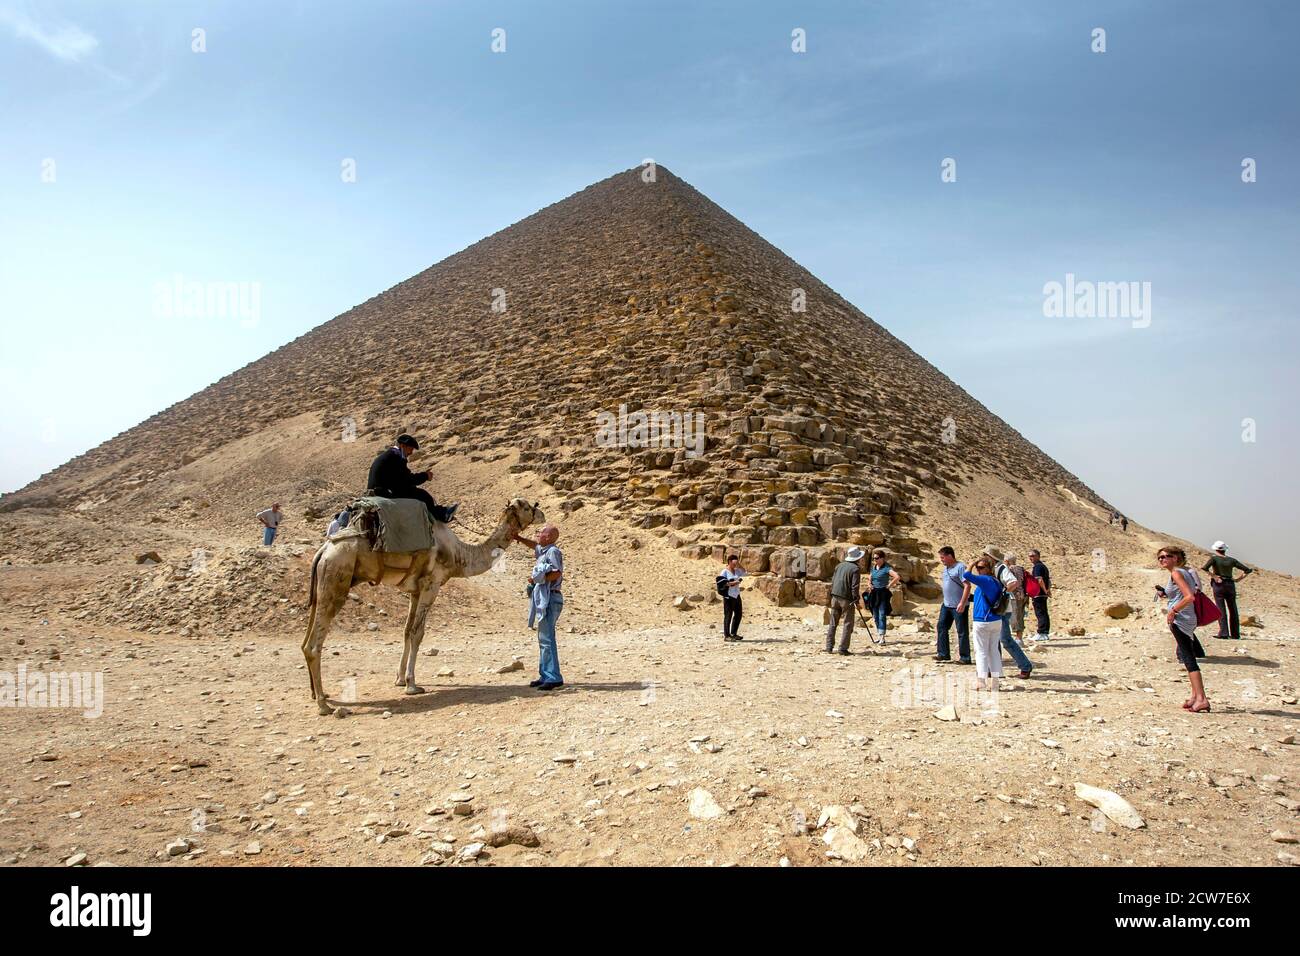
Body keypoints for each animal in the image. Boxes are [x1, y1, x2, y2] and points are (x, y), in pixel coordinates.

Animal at [300, 496, 543, 712]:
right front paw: (412, 684)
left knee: (306, 639)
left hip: (322, 583)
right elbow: (418, 632)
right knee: (314, 644)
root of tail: (324, 551)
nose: (542, 513)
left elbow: (407, 631)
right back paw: (323, 705)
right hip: (337, 577)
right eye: (528, 507)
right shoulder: (431, 584)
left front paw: (399, 679)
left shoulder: (414, 591)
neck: (460, 555)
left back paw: (318, 694)